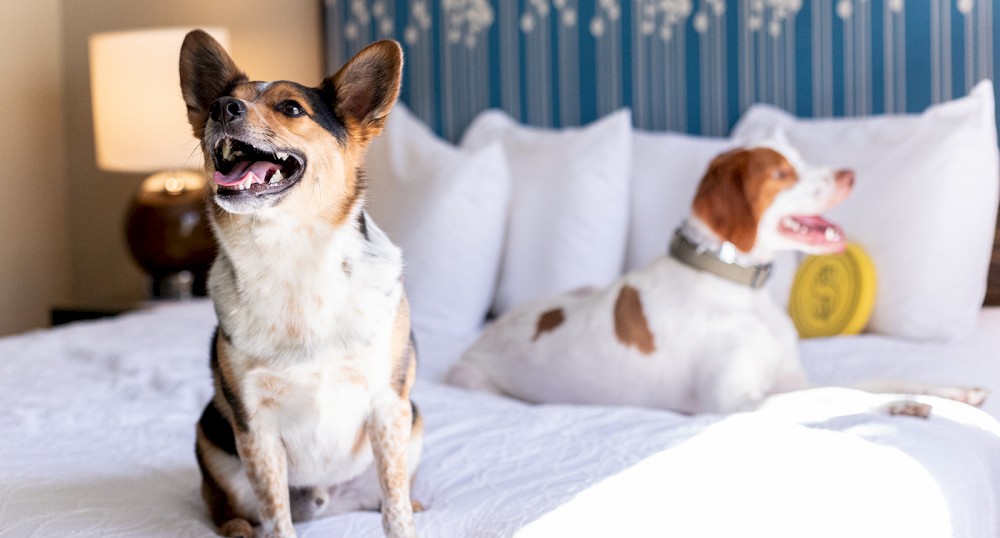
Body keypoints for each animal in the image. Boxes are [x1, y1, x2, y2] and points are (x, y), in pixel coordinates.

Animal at [180, 30, 422, 536]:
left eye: (291, 108)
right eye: (212, 104)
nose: (222, 108)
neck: (293, 256)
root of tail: (325, 500)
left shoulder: (388, 405)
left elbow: (395, 508)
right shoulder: (255, 426)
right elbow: (276, 517)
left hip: (414, 425)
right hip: (211, 438)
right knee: (221, 507)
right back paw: (237, 528)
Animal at [452, 142, 984, 414]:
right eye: (781, 173)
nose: (850, 174)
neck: (736, 288)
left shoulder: (791, 378)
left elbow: (877, 377)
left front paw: (946, 390)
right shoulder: (734, 401)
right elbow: (839, 393)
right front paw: (902, 405)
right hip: (472, 381)